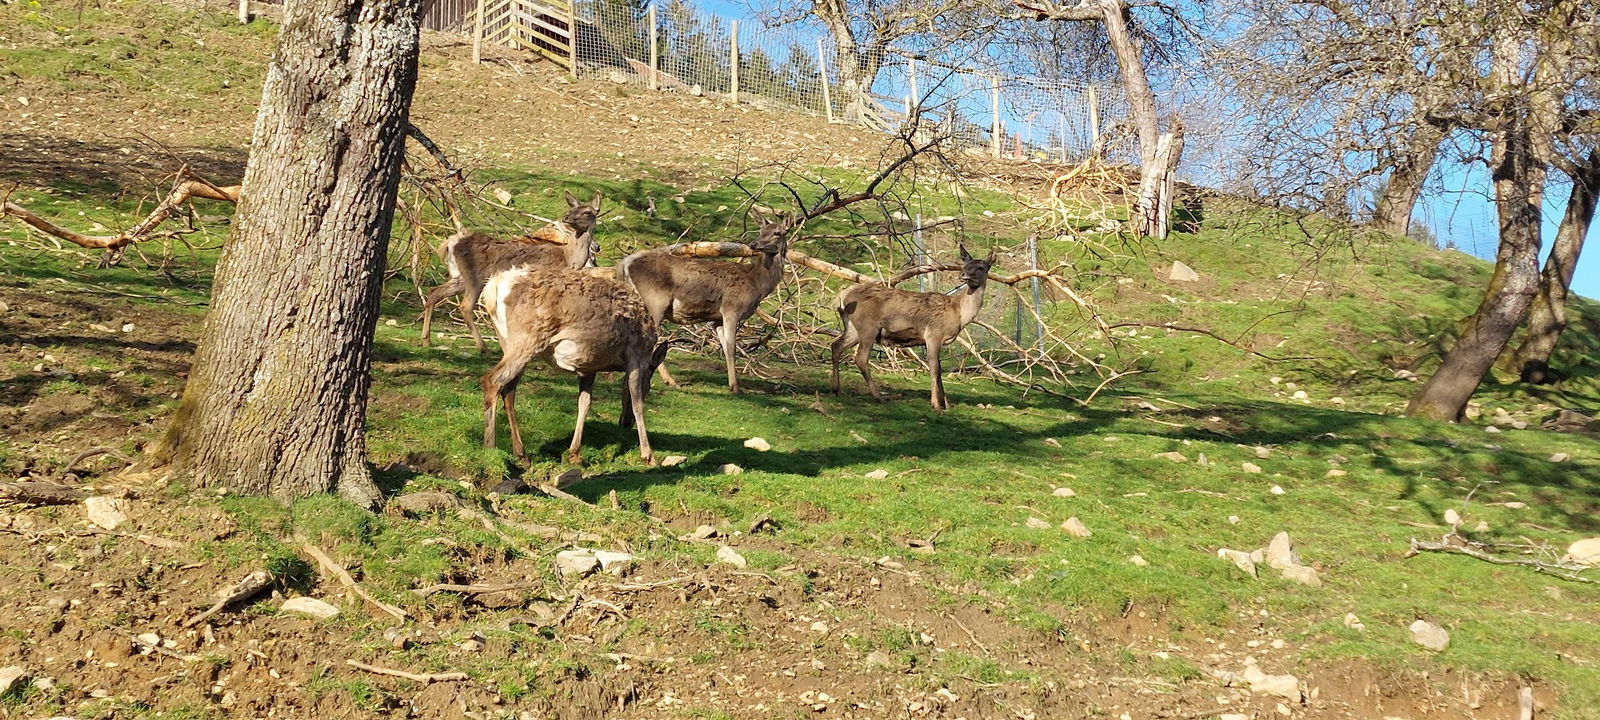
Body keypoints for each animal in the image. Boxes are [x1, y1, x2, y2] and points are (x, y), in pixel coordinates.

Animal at [419, 188, 604, 352]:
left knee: (435, 292)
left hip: (459, 277)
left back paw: (426, 339)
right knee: (464, 306)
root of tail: (449, 243)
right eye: (572, 209)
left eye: (587, 212)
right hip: (474, 277)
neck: (568, 257)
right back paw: (483, 347)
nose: (566, 217)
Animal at [476, 260, 672, 467]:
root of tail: (493, 288)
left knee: (509, 389)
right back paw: (490, 447)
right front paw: (648, 455)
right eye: (648, 387)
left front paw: (574, 453)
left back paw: (521, 454)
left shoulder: (590, 366)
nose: (625, 423)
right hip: (527, 340)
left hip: (508, 342)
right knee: (492, 380)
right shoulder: (636, 356)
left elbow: (584, 403)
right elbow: (637, 403)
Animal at [614, 211, 790, 396]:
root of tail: (624, 264)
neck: (756, 283)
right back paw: (670, 381)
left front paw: (732, 384)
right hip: (654, 301)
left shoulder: (717, 320)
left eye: (776, 232)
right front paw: (736, 388)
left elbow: (726, 348)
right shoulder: (731, 309)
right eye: (762, 230)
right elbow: (732, 348)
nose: (754, 244)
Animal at [832, 243, 992, 408]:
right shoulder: (933, 333)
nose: (963, 274)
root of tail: (841, 296)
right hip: (868, 326)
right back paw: (880, 396)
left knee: (836, 345)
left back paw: (836, 389)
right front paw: (936, 404)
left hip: (853, 328)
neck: (959, 314)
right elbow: (935, 369)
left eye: (980, 267)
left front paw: (946, 404)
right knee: (861, 358)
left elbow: (938, 369)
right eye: (965, 265)